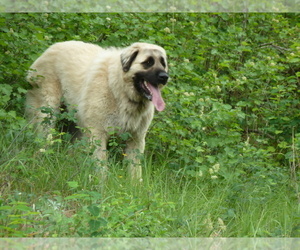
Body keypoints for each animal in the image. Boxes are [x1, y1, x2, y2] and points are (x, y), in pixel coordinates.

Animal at [25, 41, 169, 181]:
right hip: (48, 112)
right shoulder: (98, 134)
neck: (118, 89)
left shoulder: (136, 138)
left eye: (163, 63)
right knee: (42, 138)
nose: (165, 77)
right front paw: (101, 185)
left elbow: (135, 170)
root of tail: (50, 49)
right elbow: (101, 166)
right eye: (148, 62)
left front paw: (134, 186)